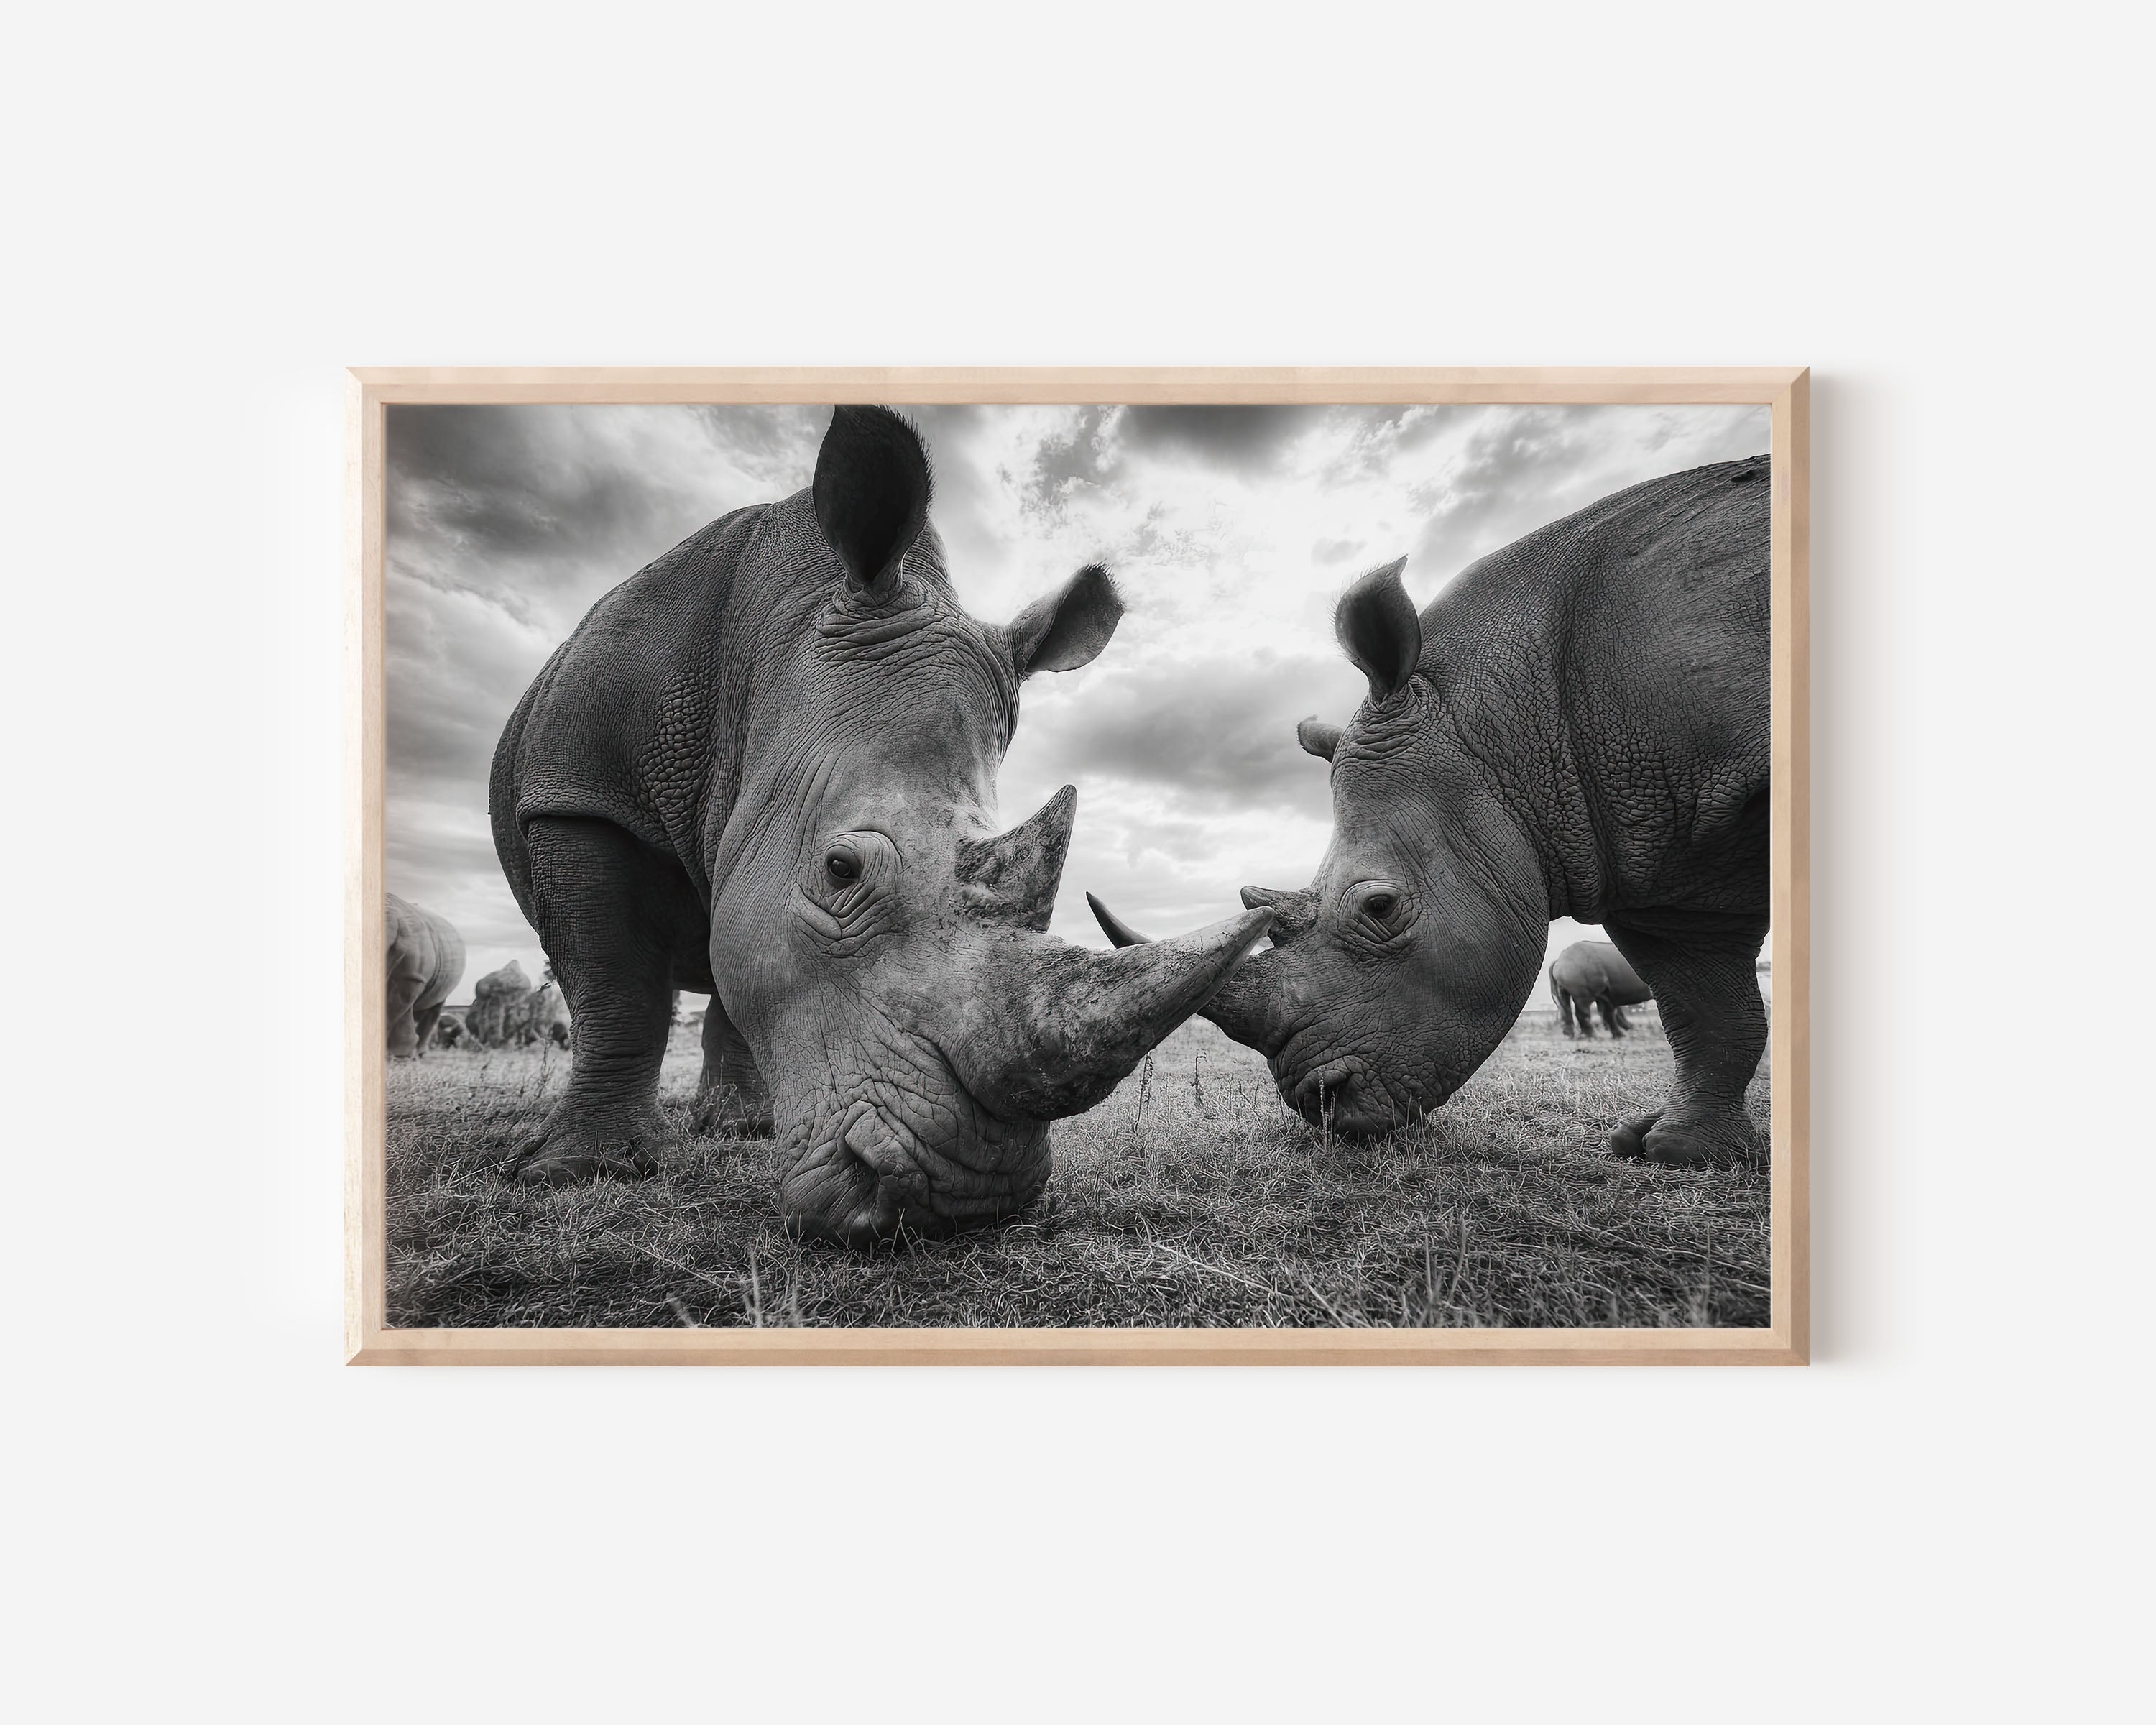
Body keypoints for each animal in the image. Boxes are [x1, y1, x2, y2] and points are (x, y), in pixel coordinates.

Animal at [491, 406, 1270, 1242]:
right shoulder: (577, 791)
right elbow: (617, 986)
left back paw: (742, 1131)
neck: (770, 655)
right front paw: (580, 1173)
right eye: (841, 871)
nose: (965, 1198)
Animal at [1548, 939, 1651, 1039]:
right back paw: (1592, 1037)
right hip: (1579, 970)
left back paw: (1570, 1036)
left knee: (1565, 1002)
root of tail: (1559, 960)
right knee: (1585, 1004)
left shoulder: (1606, 992)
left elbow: (1608, 1011)